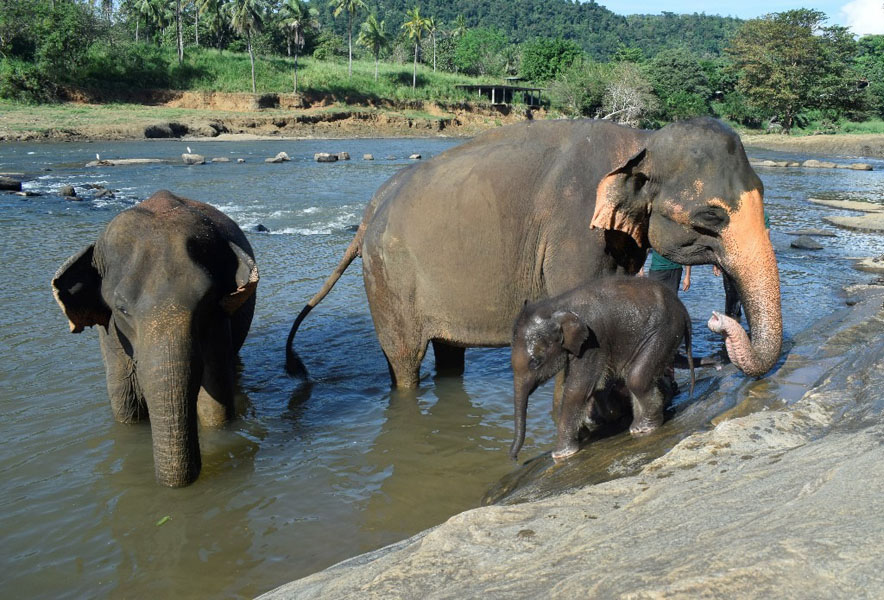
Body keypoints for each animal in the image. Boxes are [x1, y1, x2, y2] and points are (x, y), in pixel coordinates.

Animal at [52, 190, 259, 487]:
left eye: (206, 303)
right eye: (122, 309)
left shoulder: (220, 318)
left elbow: (214, 404)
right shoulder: (111, 330)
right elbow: (124, 402)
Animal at [286, 117, 781, 389]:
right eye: (711, 217)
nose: (719, 321)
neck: (640, 142)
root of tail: (370, 210)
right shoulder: (572, 234)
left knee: (448, 356)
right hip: (388, 280)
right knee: (404, 359)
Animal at [508, 276, 694, 460]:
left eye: (535, 362)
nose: (514, 458)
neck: (557, 305)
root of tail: (682, 308)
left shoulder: (593, 340)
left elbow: (577, 389)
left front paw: (561, 454)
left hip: (664, 332)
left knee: (636, 378)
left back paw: (644, 428)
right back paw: (637, 426)